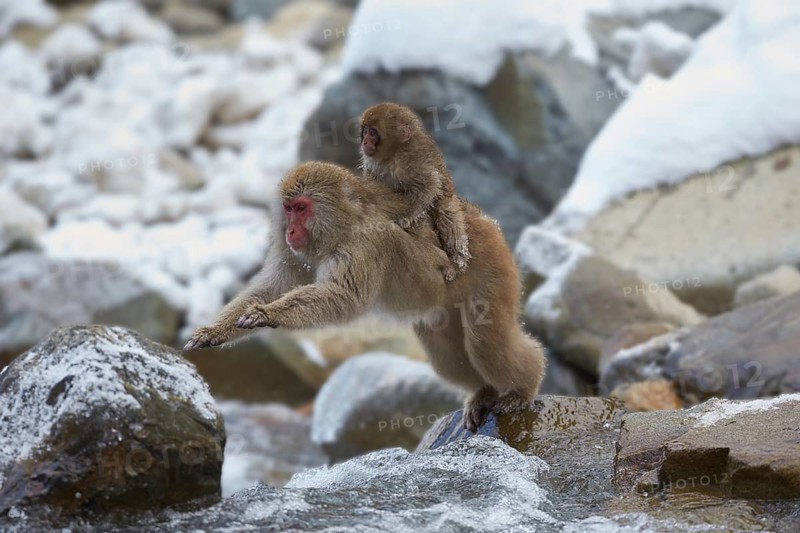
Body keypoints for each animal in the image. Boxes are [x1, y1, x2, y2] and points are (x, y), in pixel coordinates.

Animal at [184, 162, 546, 432]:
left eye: (302, 208)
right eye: (288, 209)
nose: (289, 231)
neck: (344, 223)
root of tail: (483, 220)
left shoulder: (365, 244)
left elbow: (345, 298)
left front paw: (267, 315)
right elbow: (274, 284)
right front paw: (217, 330)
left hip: (492, 271)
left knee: (486, 344)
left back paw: (524, 387)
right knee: (448, 355)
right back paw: (484, 392)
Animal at [359, 102, 471, 282]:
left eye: (372, 132)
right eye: (365, 131)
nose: (365, 141)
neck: (393, 155)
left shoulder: (412, 164)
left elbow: (431, 184)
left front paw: (406, 219)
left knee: (446, 213)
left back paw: (456, 263)